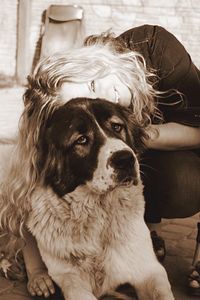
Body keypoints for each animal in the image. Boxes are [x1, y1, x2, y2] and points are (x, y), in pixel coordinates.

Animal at [22, 97, 173, 298]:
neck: (98, 212)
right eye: (81, 140)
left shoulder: (148, 269)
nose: (125, 159)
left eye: (117, 126)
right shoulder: (71, 278)